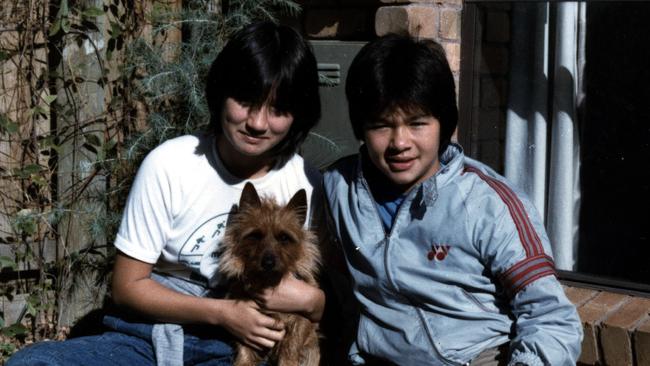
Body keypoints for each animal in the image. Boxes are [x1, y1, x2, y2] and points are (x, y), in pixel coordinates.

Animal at [219, 183, 320, 366]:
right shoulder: (245, 322)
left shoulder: (304, 316)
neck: (268, 281)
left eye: (284, 237)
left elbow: (291, 344)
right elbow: (245, 349)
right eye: (255, 235)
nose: (268, 263)